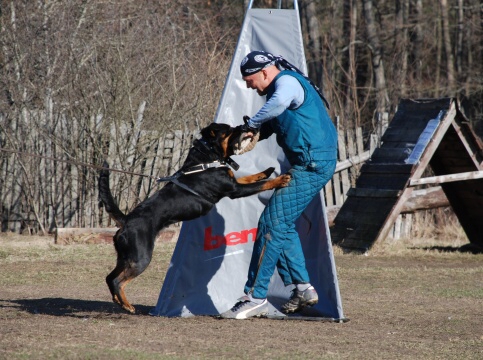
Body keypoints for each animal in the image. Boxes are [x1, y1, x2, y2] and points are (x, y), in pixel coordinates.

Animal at [96, 122, 290, 314]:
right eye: (229, 129)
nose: (245, 126)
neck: (207, 158)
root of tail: (126, 220)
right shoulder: (234, 190)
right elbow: (261, 184)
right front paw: (280, 179)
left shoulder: (234, 182)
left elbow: (251, 177)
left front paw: (267, 171)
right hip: (140, 257)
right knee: (117, 280)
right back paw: (127, 305)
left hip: (125, 257)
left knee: (109, 278)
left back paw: (120, 301)